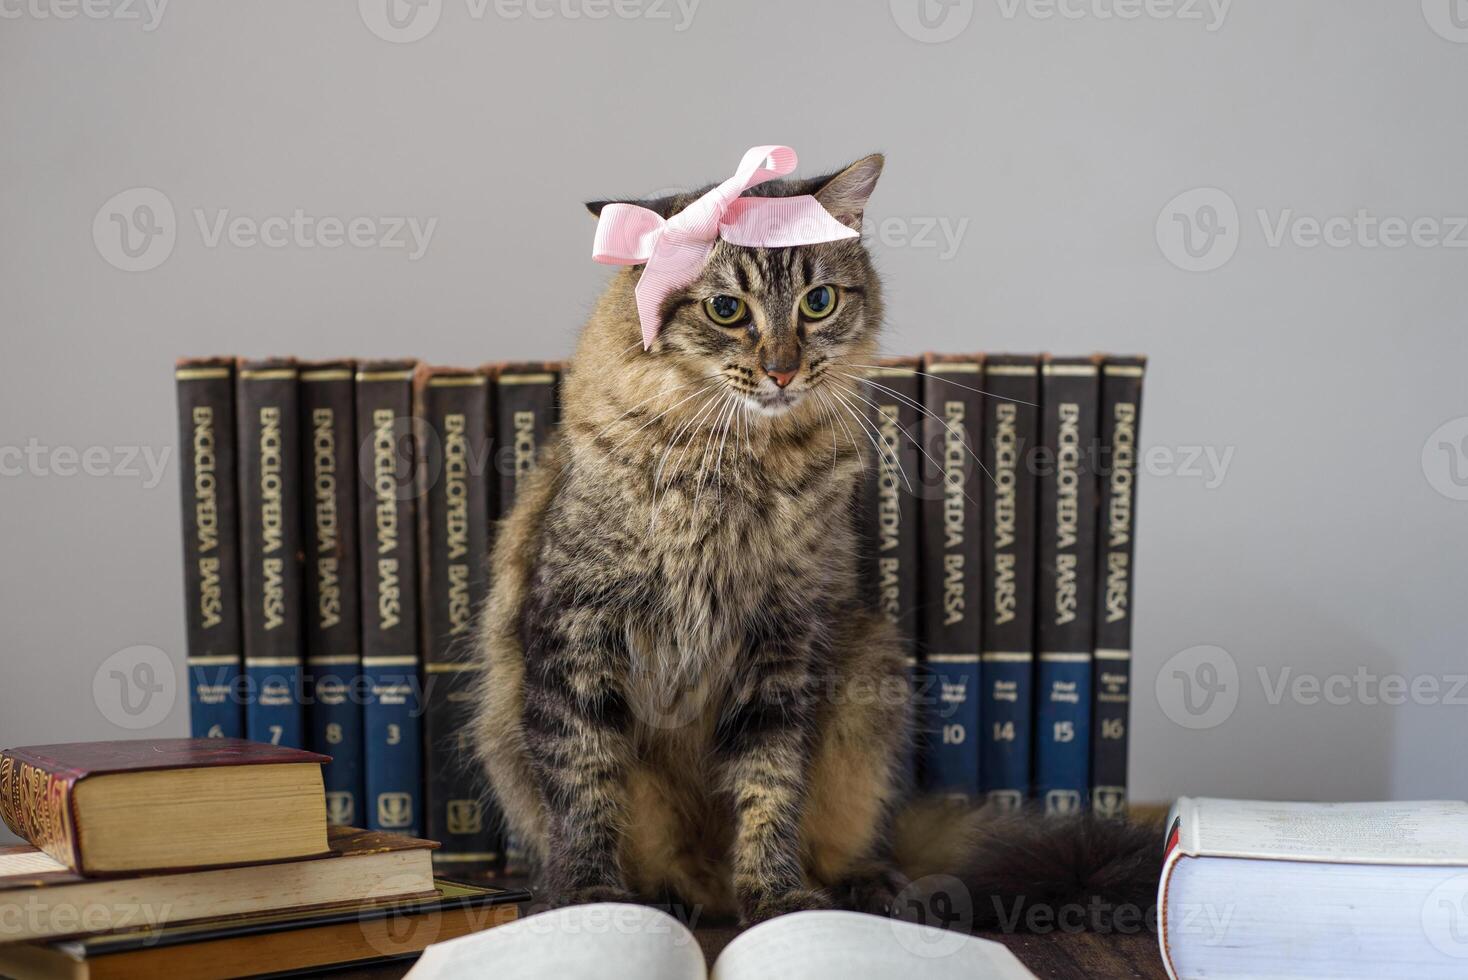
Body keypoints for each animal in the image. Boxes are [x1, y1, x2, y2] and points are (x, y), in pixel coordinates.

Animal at [472, 153, 1156, 927]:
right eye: (727, 310)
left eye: (819, 302)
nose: (782, 369)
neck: (738, 466)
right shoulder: (576, 633)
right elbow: (586, 788)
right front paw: (590, 897)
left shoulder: (782, 641)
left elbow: (769, 786)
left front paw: (775, 897)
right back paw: (671, 899)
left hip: (868, 681)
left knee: (847, 843)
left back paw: (860, 887)